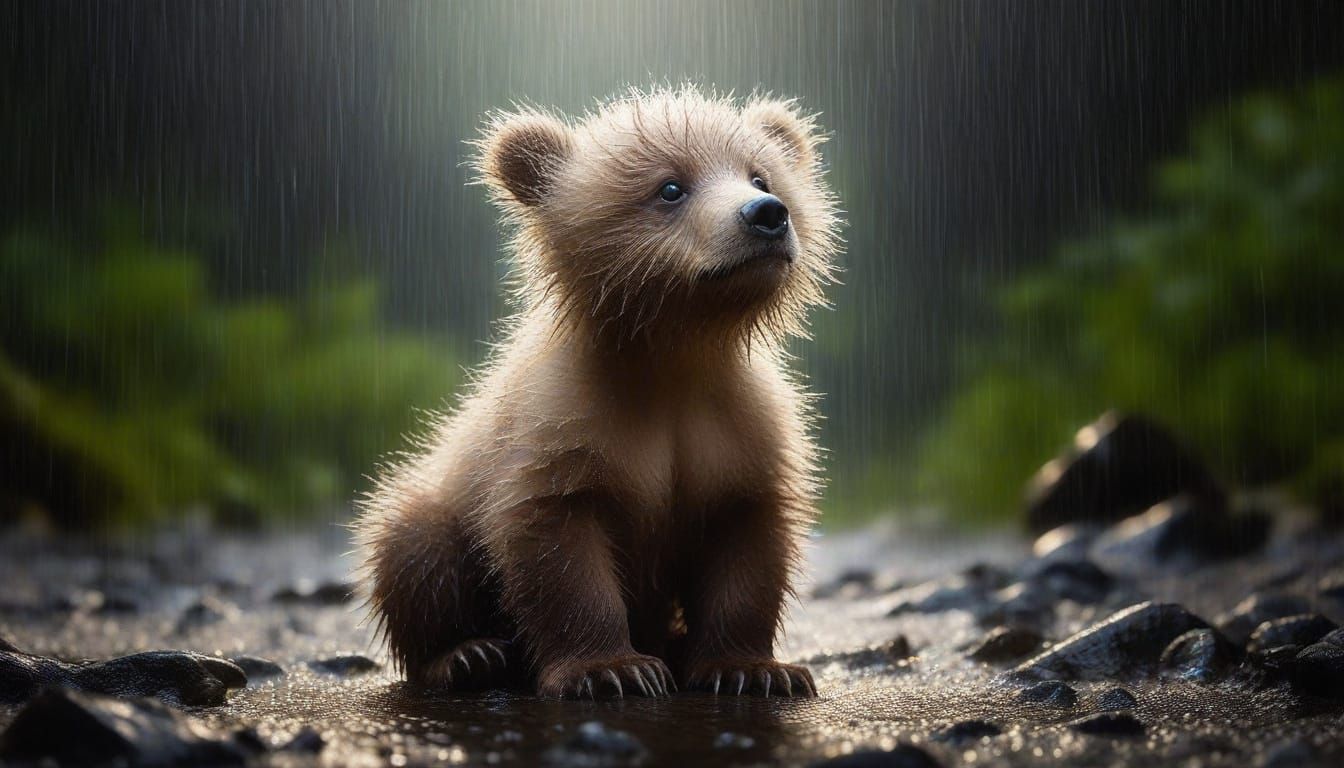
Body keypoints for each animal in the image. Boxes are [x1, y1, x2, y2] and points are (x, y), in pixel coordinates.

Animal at [355, 85, 841, 699]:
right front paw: (612, 669)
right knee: (412, 543)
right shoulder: (562, 427)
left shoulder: (740, 429)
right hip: (439, 496)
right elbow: (559, 550)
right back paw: (467, 656)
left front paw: (752, 670)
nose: (767, 215)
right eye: (670, 187)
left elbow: (748, 545)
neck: (672, 357)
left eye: (761, 175)